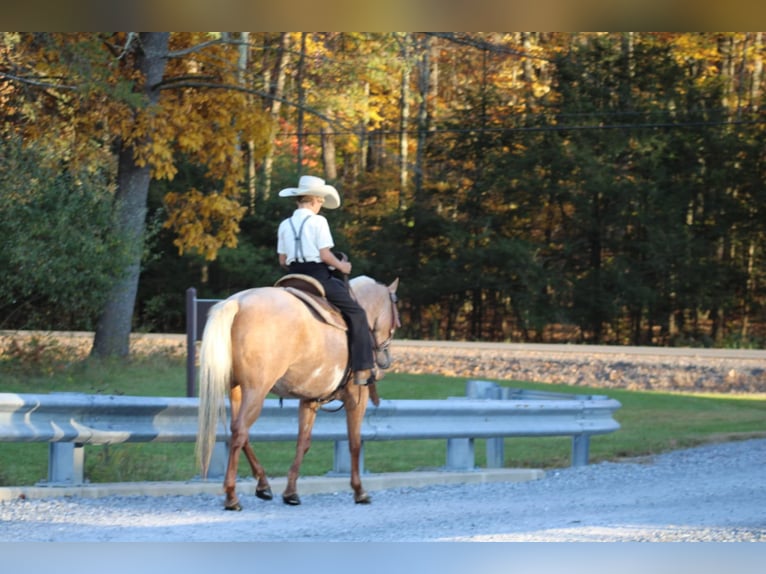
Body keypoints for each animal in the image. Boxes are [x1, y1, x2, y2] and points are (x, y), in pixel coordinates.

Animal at [196, 276, 402, 510]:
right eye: (396, 311)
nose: (385, 360)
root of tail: (237, 303)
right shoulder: (357, 399)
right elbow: (354, 443)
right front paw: (359, 491)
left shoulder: (309, 401)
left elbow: (303, 443)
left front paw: (291, 492)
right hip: (256, 392)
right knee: (240, 431)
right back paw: (232, 496)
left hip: (237, 390)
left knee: (239, 432)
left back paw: (263, 485)